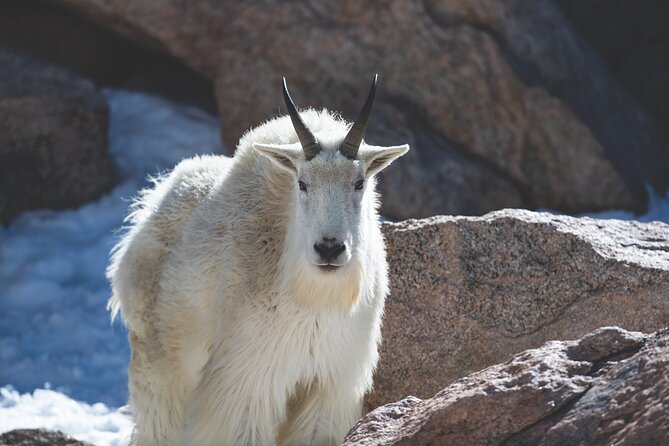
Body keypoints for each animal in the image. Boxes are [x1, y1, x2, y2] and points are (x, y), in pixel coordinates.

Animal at [105, 75, 408, 444]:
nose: (329, 249)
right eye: (302, 183)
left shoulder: (328, 384)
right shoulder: (249, 378)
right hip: (160, 368)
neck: (314, 298)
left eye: (359, 182)